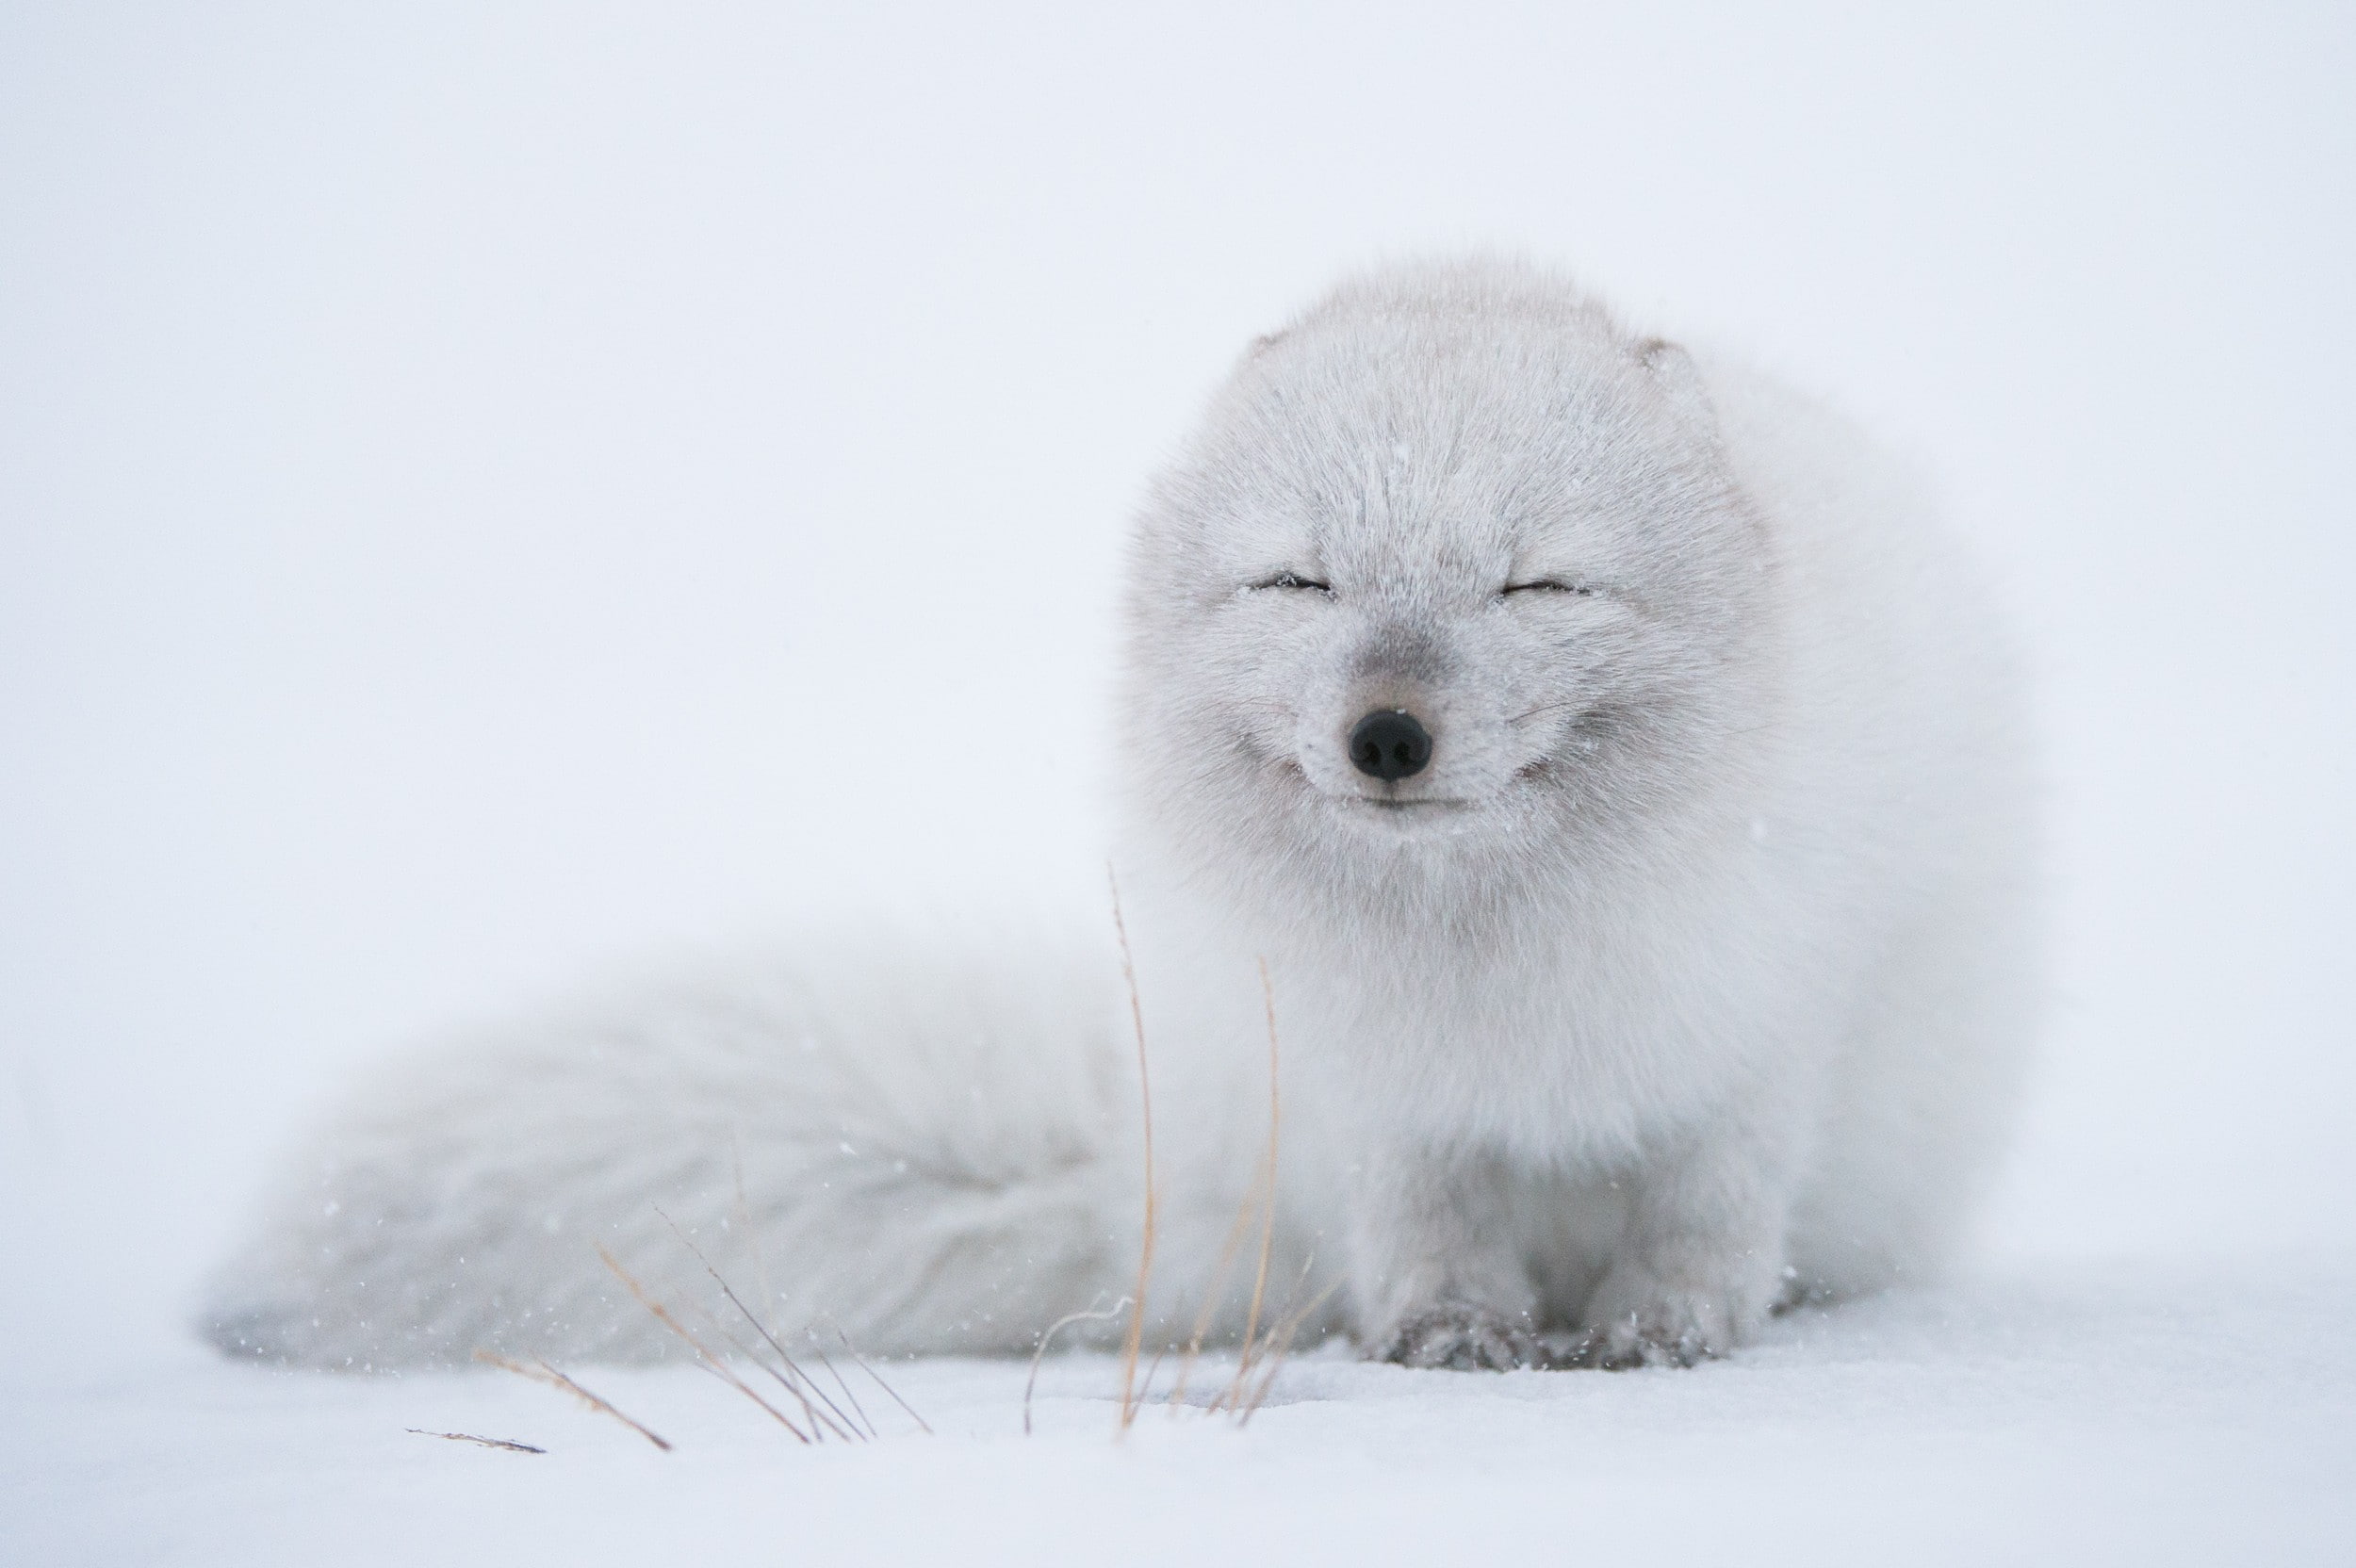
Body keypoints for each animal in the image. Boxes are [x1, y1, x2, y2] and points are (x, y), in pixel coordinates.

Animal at [204, 259, 2040, 1373]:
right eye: (1299, 581)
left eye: (1540, 582)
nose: (1387, 733)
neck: (1483, 961)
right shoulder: (1369, 1089)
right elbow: (1426, 1227)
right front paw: (1449, 1339)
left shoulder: (1763, 1029)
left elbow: (1709, 1210)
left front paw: (1666, 1334)